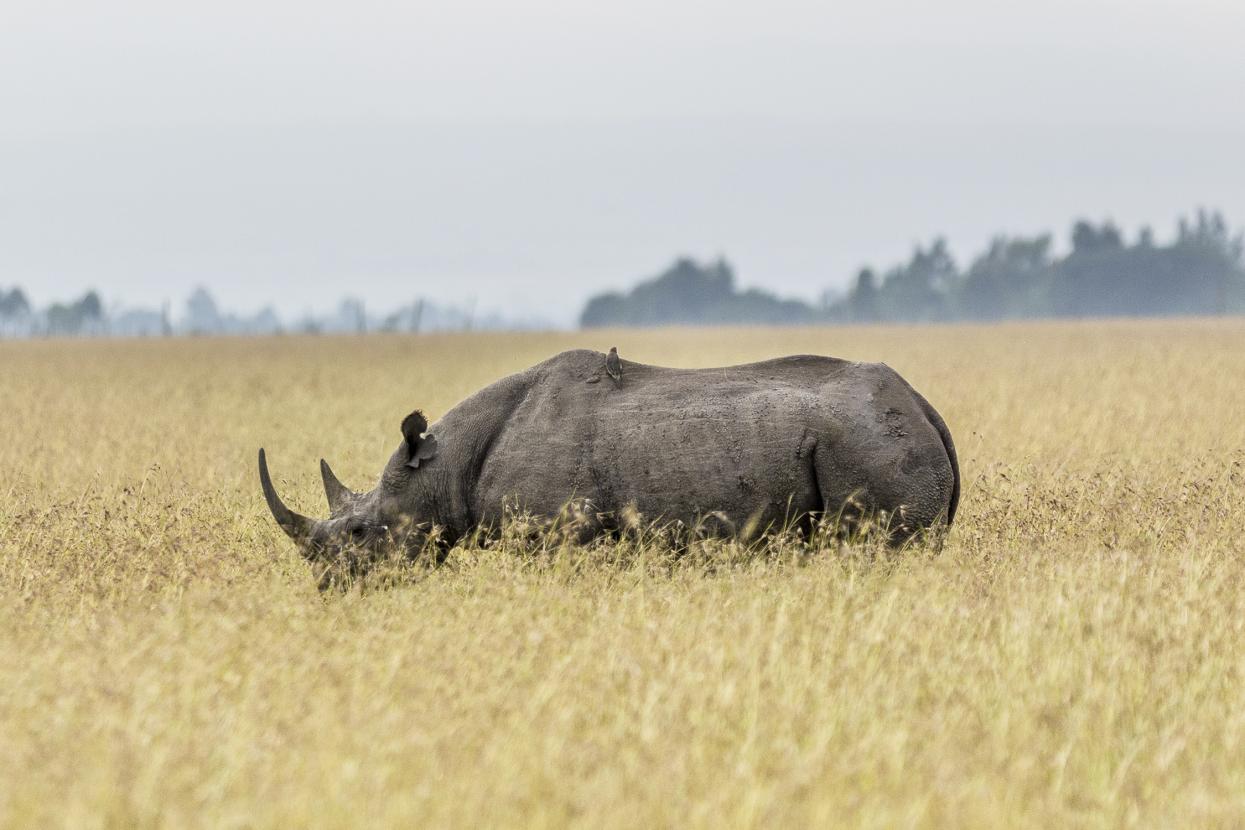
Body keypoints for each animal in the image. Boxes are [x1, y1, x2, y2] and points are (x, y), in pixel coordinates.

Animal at [260, 349, 959, 578]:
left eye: (360, 532)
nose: (328, 586)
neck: (440, 465)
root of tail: (924, 406)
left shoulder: (555, 537)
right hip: (880, 436)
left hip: (872, 442)